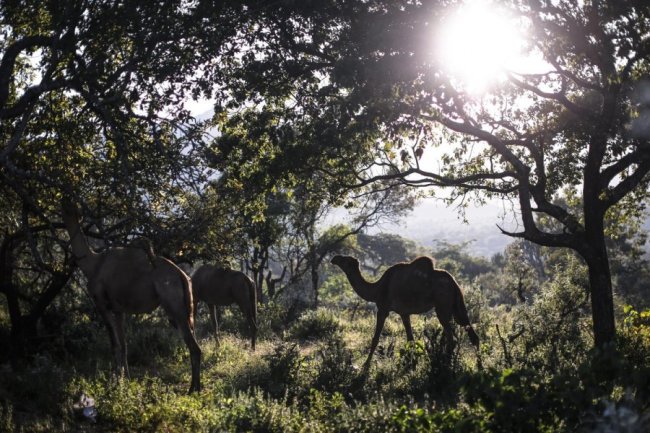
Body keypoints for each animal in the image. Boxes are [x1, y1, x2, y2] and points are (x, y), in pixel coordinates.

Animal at [62, 201, 202, 394]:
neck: (93, 264)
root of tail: (182, 275)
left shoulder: (102, 304)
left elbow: (114, 344)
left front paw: (115, 384)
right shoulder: (118, 310)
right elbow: (124, 345)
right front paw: (125, 380)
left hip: (174, 306)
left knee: (194, 347)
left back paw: (193, 389)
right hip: (186, 309)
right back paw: (195, 386)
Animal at [332, 253, 478, 368]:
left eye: (346, 260)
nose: (334, 258)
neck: (377, 288)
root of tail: (454, 283)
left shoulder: (383, 308)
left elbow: (375, 338)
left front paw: (366, 364)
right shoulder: (404, 313)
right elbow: (410, 339)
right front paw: (412, 363)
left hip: (442, 305)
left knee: (451, 337)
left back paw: (446, 364)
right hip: (456, 305)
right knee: (471, 333)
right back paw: (477, 365)